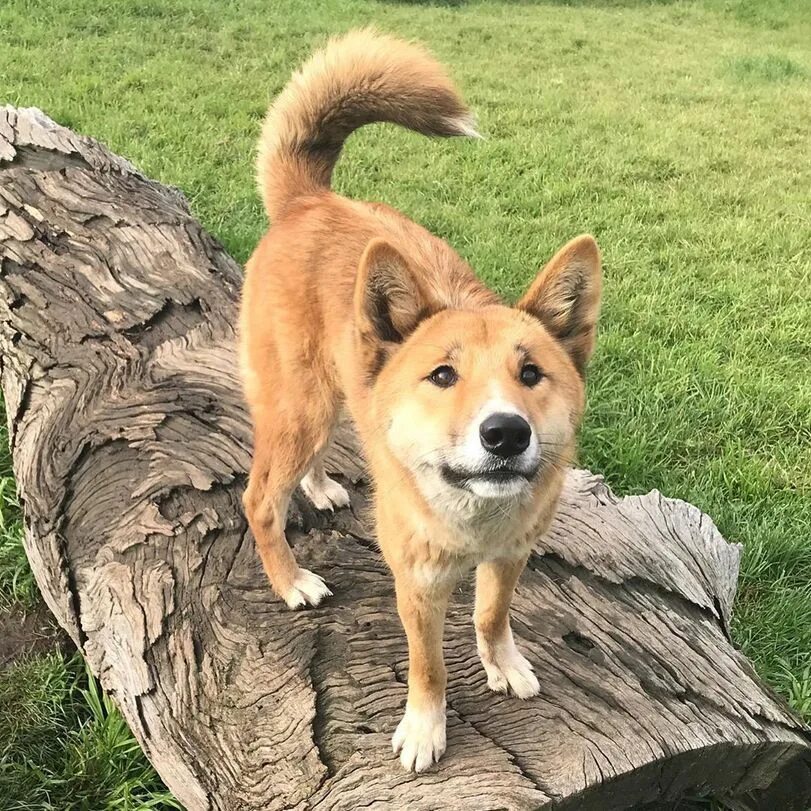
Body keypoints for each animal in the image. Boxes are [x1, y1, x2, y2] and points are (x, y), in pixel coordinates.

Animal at [238, 27, 600, 772]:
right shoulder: (418, 584)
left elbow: (491, 615)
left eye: (531, 373)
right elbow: (427, 666)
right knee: (259, 499)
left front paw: (502, 662)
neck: (473, 518)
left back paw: (320, 486)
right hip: (299, 407)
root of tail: (313, 201)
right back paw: (290, 580)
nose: (504, 433)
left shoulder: (511, 554)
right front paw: (425, 728)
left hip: (335, 394)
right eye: (442, 375)